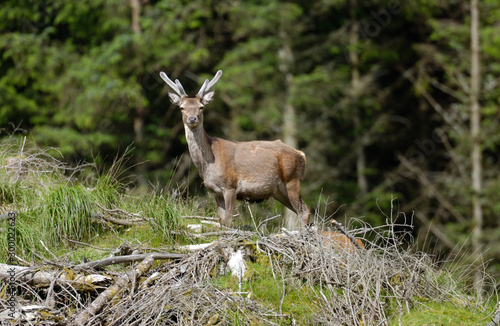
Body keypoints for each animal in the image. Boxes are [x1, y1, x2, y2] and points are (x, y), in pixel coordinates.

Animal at [160, 69, 308, 227]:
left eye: (201, 107)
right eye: (182, 107)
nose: (192, 119)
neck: (208, 163)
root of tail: (301, 154)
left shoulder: (230, 186)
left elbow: (228, 219)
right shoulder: (215, 191)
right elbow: (221, 220)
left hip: (292, 179)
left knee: (303, 211)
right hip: (279, 190)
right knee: (300, 210)